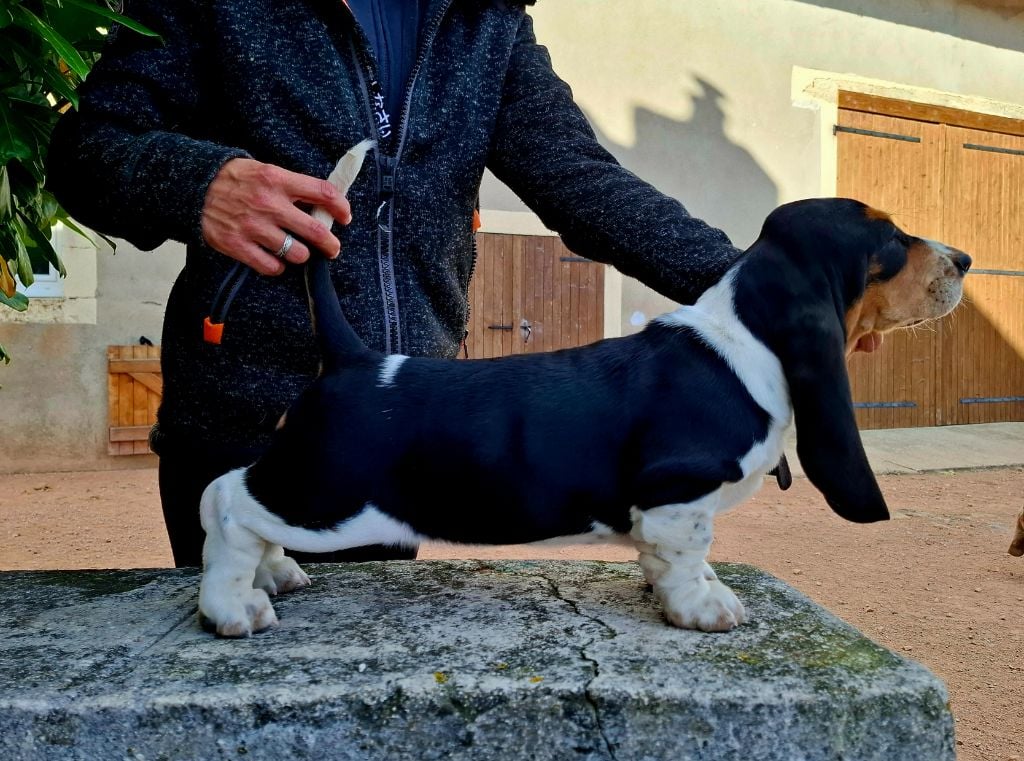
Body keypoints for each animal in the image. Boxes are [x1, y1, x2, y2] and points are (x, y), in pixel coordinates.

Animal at [195, 141, 970, 635]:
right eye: (891, 241)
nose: (963, 259)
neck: (745, 338)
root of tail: (356, 358)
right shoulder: (677, 492)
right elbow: (690, 553)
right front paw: (703, 611)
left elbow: (670, 555)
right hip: (332, 497)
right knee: (226, 501)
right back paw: (235, 608)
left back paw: (273, 574)